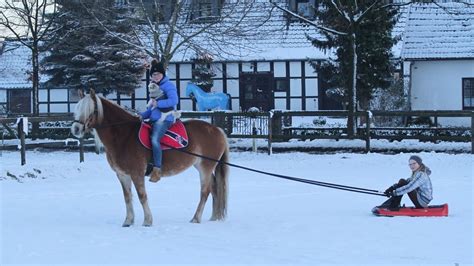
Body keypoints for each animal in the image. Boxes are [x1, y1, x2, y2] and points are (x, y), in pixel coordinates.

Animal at [70, 90, 230, 227]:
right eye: (77, 108)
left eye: (90, 109)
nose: (76, 129)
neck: (124, 135)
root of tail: (217, 130)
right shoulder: (122, 175)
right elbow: (127, 197)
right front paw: (128, 221)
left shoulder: (137, 173)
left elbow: (142, 196)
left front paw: (147, 221)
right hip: (203, 166)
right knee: (214, 187)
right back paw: (214, 217)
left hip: (205, 167)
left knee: (205, 191)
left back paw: (196, 218)